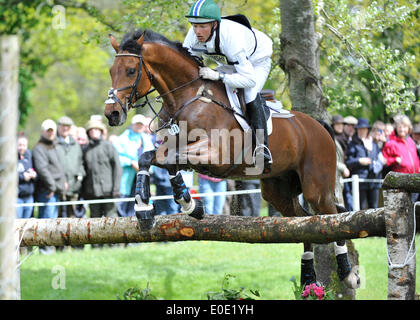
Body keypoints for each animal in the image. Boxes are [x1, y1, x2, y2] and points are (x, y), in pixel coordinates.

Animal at [103, 30, 360, 290]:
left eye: (131, 70)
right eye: (112, 71)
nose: (112, 114)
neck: (187, 97)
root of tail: (320, 127)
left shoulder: (215, 154)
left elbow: (171, 161)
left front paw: (189, 204)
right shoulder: (175, 150)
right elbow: (148, 158)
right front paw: (145, 208)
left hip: (315, 187)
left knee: (331, 215)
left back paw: (347, 273)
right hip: (277, 190)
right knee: (301, 222)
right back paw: (308, 277)